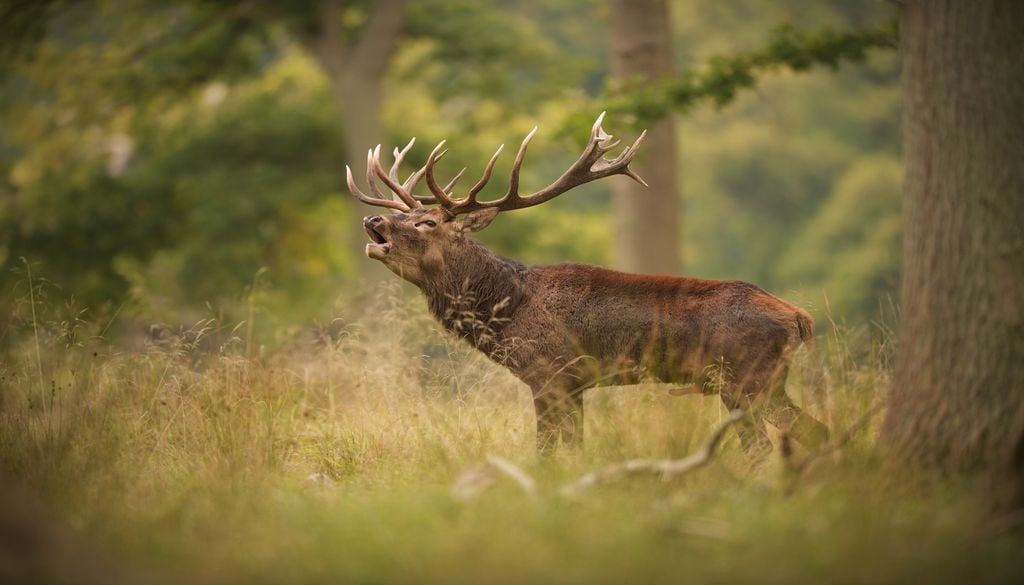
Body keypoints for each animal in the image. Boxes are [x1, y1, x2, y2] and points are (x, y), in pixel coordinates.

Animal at [346, 113, 830, 459]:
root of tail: (800, 318)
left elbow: (546, 452)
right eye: (406, 215)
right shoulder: (575, 384)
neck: (507, 310)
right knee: (813, 431)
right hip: (763, 382)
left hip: (745, 378)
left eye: (427, 222)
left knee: (765, 445)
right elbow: (574, 449)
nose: (373, 220)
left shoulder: (550, 373)